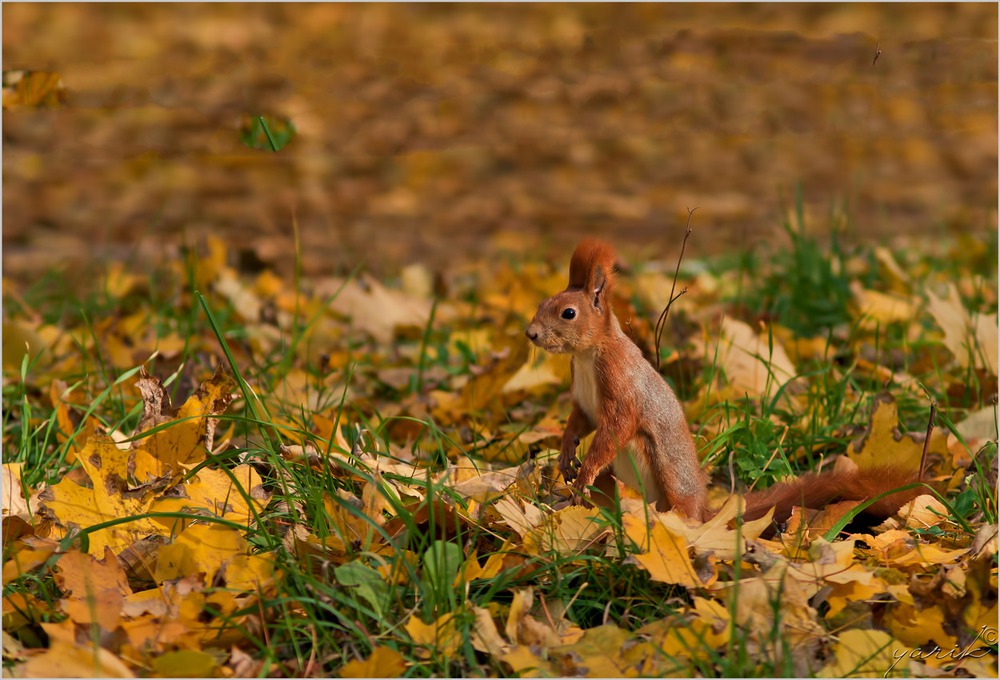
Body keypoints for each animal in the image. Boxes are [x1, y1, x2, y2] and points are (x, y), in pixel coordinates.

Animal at [524, 239, 920, 524]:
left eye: (568, 313)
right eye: (543, 302)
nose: (531, 334)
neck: (588, 355)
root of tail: (705, 511)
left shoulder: (620, 384)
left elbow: (615, 428)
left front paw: (585, 469)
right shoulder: (582, 398)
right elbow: (579, 421)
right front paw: (566, 455)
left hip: (663, 472)